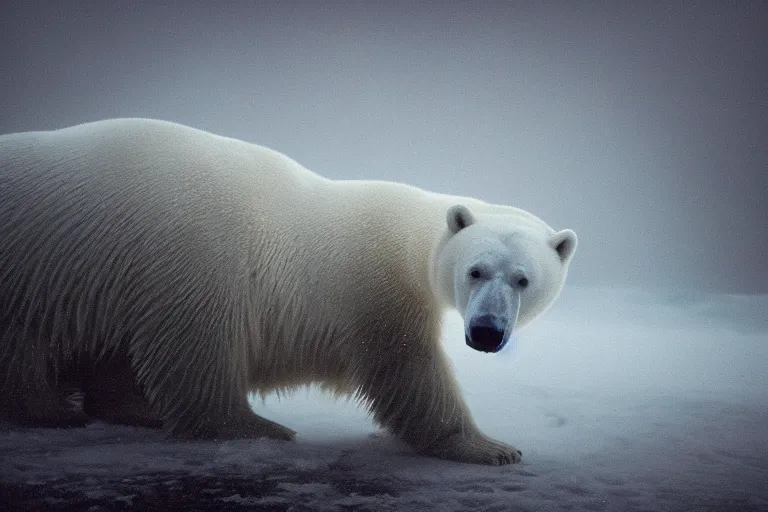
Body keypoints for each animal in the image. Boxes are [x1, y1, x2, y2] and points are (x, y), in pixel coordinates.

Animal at [0, 119, 576, 464]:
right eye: (476, 271)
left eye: (523, 279)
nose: (486, 332)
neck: (404, 237)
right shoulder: (369, 283)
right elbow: (406, 366)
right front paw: (491, 447)